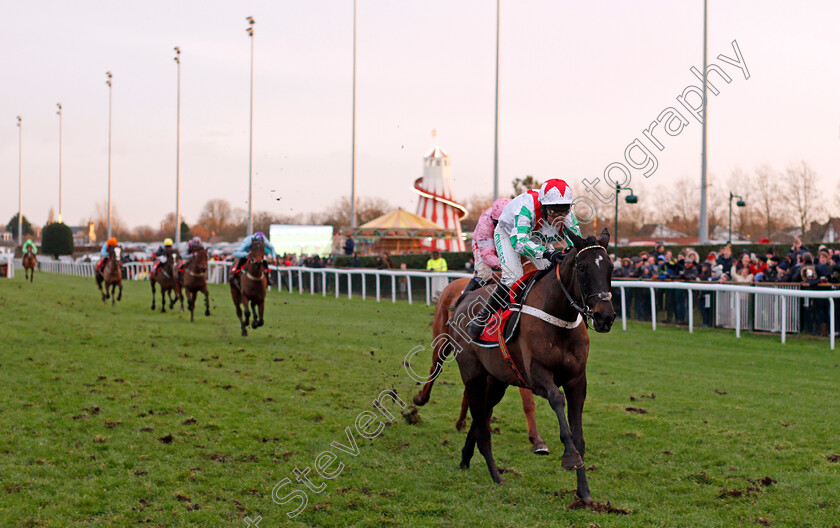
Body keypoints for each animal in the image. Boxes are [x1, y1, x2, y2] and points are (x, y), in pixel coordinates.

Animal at [450, 226, 612, 504]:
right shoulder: (537, 375)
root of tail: (466, 297)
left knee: (482, 415)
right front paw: (569, 457)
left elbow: (579, 436)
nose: (605, 316)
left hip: (498, 380)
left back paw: (465, 458)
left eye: (610, 267)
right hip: (472, 374)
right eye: (582, 268)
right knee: (481, 423)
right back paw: (496, 476)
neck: (559, 316)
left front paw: (584, 493)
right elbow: (557, 400)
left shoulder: (577, 380)